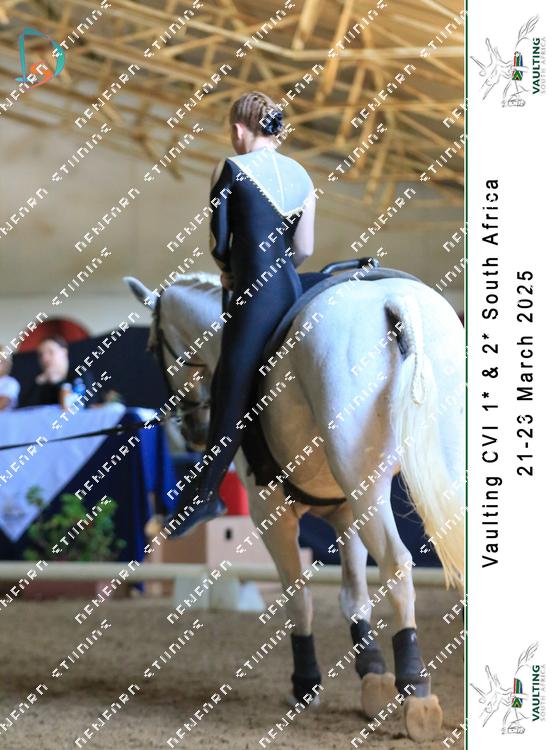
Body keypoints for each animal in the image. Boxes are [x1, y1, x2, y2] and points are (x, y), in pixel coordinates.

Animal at [125, 270, 464, 742]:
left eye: (152, 347)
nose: (192, 428)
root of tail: (396, 302)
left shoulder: (270, 511)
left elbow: (298, 597)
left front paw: (306, 683)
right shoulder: (344, 511)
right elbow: (353, 596)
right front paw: (372, 674)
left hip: (369, 486)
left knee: (397, 565)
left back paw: (417, 694)